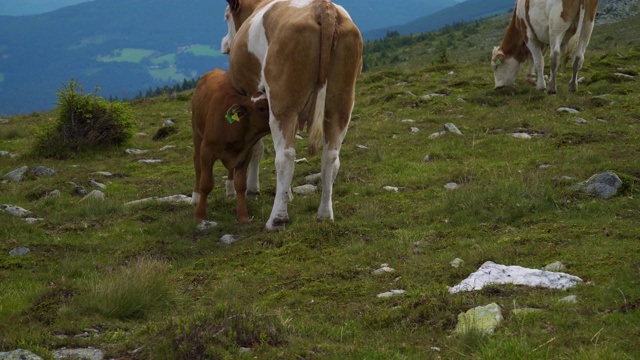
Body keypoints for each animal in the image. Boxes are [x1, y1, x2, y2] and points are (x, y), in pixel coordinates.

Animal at [190, 69, 270, 224]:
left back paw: (230, 189)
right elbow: (206, 183)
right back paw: (195, 197)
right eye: (262, 108)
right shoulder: (207, 151)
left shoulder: (245, 154)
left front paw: (243, 216)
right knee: (197, 163)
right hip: (196, 133)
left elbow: (241, 184)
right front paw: (199, 214)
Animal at [221, 0, 362, 231]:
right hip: (341, 103)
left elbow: (256, 148)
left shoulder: (251, 96)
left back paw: (277, 219)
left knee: (285, 156)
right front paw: (287, 194)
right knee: (331, 157)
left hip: (283, 102)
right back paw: (325, 215)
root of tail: (323, 7)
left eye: (226, 17)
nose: (225, 43)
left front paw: (251, 189)